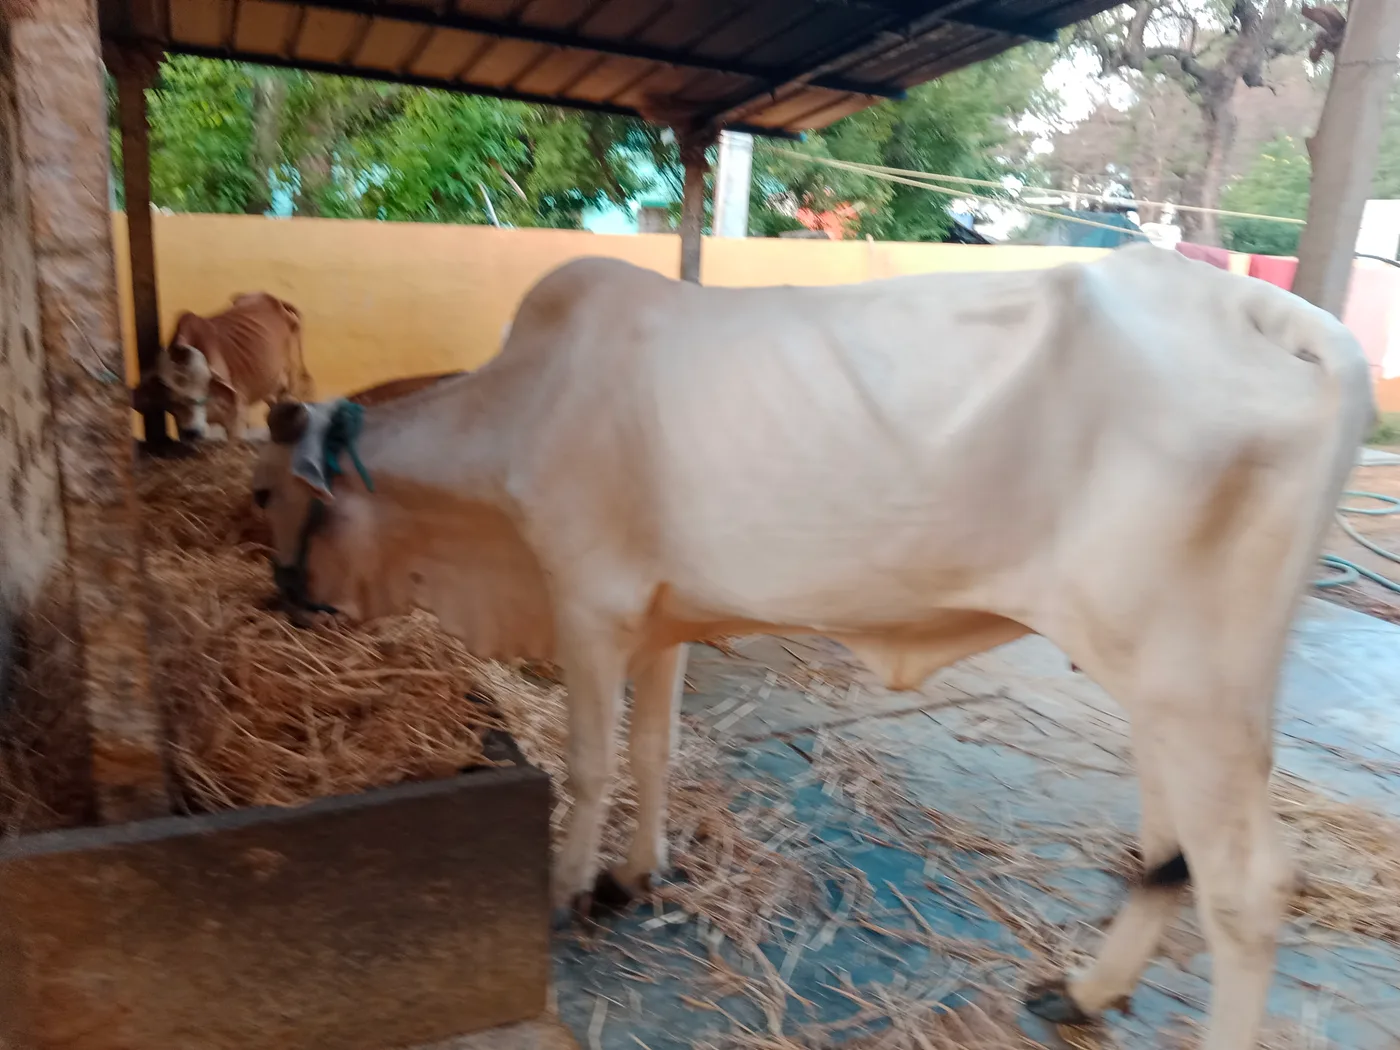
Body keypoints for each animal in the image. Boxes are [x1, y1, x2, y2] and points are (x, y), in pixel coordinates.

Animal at [149, 292, 312, 442]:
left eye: (202, 390)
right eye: (173, 399)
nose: (192, 432)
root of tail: (277, 300)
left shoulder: (236, 418)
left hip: (293, 379)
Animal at [249, 244, 1372, 1050]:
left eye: (262, 493)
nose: (281, 597)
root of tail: (1274, 314)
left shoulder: (588, 605)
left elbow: (590, 761)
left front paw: (569, 889)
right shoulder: (661, 617)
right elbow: (652, 752)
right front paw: (633, 876)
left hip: (1194, 686)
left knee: (1246, 887)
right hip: (1160, 681)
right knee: (1166, 853)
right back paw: (1084, 991)